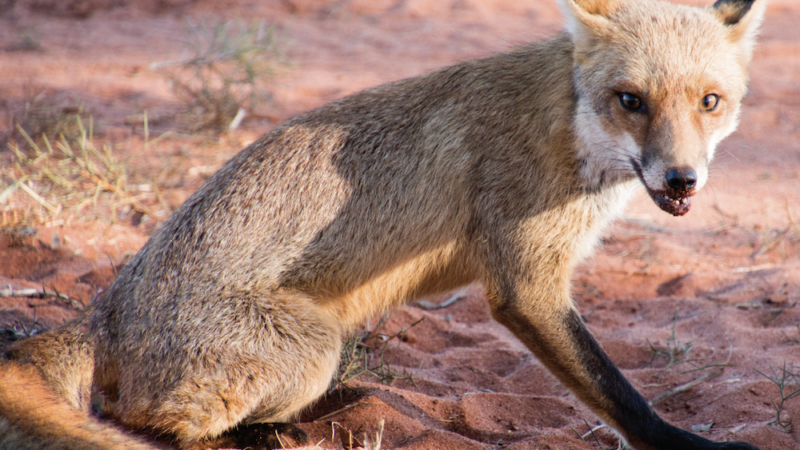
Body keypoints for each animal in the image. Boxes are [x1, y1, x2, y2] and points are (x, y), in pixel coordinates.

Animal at [0, 0, 764, 450]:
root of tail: (105, 309)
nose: (681, 180)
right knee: (153, 424)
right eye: (630, 100)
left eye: (710, 102)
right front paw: (685, 447)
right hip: (312, 346)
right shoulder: (525, 286)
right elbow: (619, 393)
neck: (566, 121)